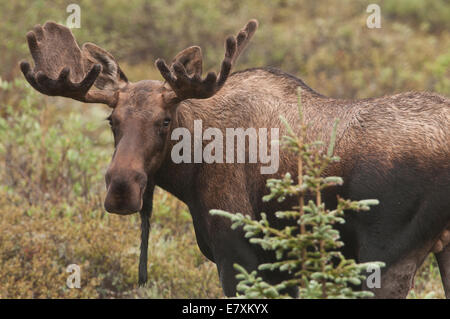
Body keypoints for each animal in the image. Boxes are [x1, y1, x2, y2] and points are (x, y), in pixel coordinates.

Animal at [19, 20, 448, 300]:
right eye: (112, 121)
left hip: (385, 254)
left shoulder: (238, 256)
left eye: (164, 121)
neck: (190, 173)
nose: (122, 189)